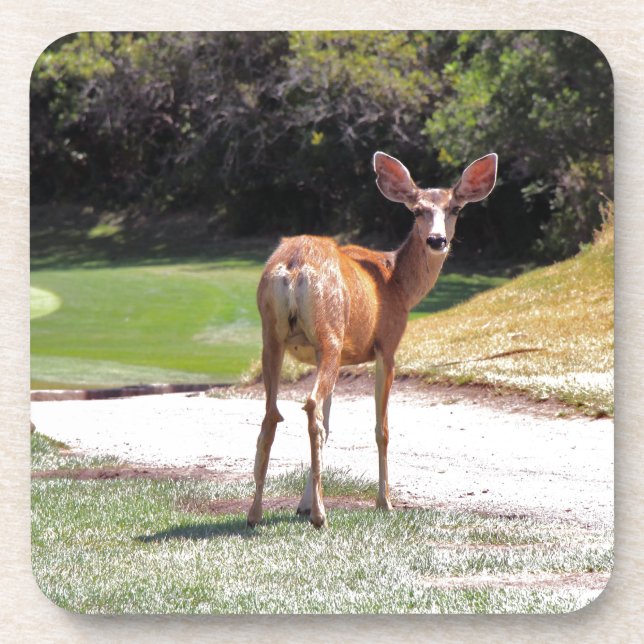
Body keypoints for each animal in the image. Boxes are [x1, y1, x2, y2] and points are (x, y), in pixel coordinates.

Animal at [247, 151, 498, 528]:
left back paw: (255, 513)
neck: (399, 284)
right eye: (417, 210)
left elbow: (331, 425)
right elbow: (382, 429)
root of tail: (293, 266)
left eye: (454, 209)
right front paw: (385, 502)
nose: (437, 241)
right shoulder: (387, 345)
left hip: (272, 336)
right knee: (310, 405)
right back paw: (320, 515)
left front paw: (302, 504)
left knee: (272, 414)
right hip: (330, 334)